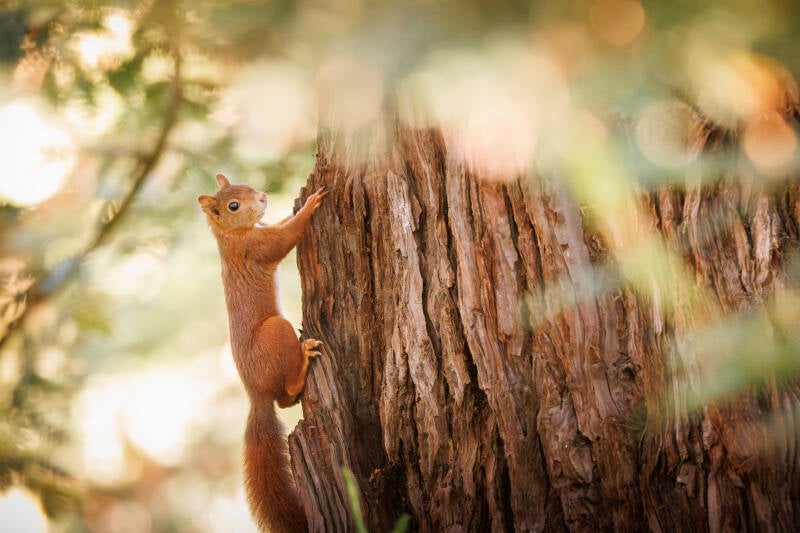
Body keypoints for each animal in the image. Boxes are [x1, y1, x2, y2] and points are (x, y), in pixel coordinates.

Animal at [198, 173, 327, 533]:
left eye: (244, 184)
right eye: (233, 205)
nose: (263, 197)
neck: (233, 236)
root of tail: (255, 394)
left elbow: (279, 226)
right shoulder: (256, 248)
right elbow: (286, 236)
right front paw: (310, 205)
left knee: (284, 401)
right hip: (277, 331)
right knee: (286, 392)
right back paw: (302, 365)